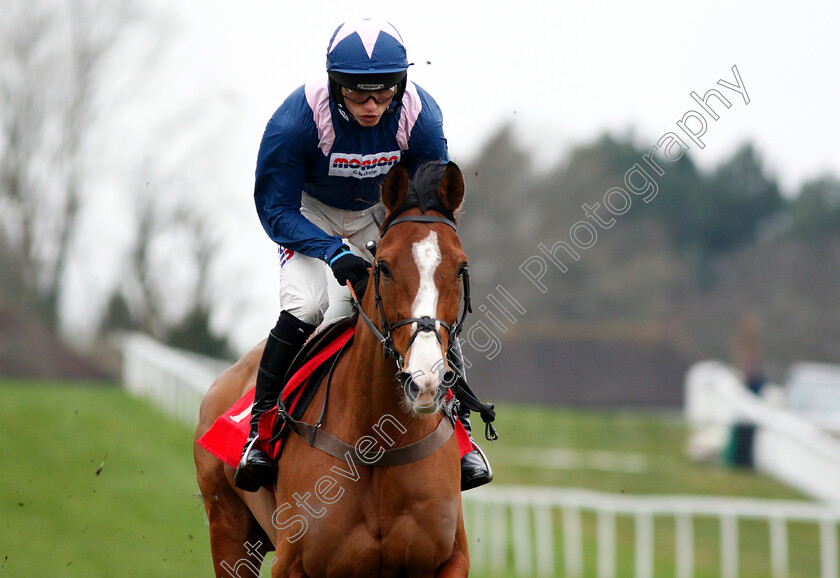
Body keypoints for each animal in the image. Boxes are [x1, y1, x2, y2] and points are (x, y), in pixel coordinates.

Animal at [195, 160, 472, 572]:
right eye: (383, 267)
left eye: (459, 267)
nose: (425, 377)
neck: (380, 443)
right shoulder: (292, 565)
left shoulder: (451, 559)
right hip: (228, 531)